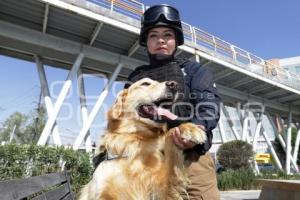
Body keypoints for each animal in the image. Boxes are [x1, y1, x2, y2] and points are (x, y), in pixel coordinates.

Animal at [78, 77, 207, 199]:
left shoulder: (160, 188)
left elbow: (171, 141)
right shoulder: (101, 190)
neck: (136, 139)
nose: (174, 84)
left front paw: (189, 128)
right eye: (145, 83)